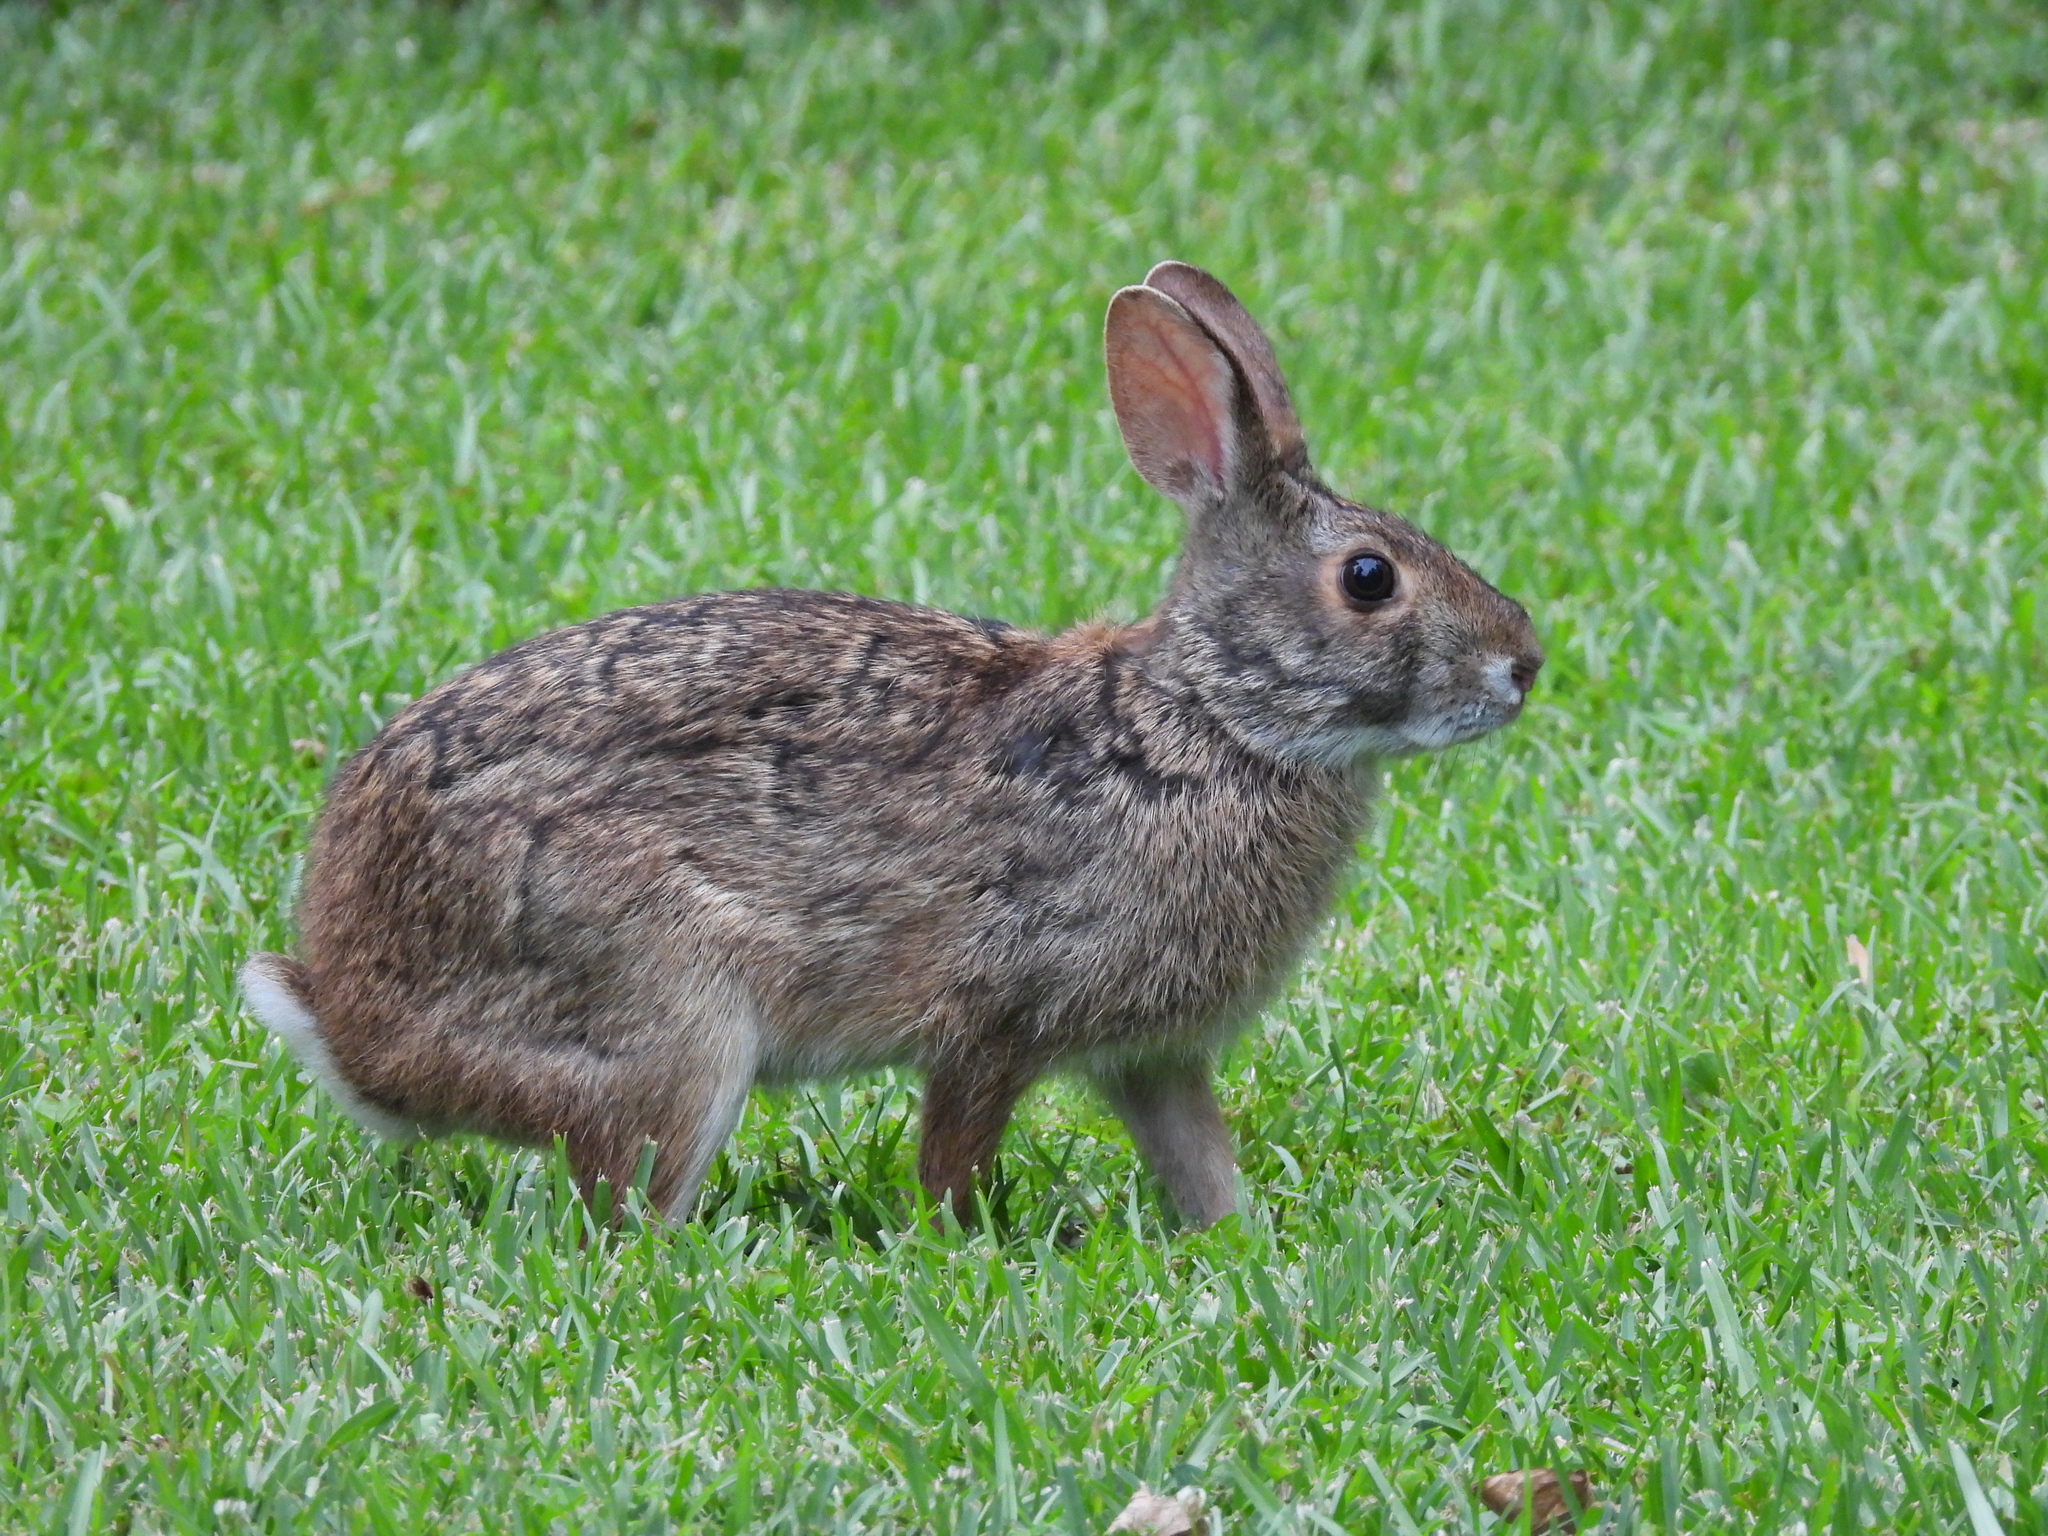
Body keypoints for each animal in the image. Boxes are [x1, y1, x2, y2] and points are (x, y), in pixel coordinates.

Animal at [239, 262, 1540, 1228]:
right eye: (1368, 580)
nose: (1522, 663)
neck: (1212, 721)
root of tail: (358, 1032)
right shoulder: (997, 1015)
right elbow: (953, 1148)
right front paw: (963, 1240)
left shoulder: (1152, 1054)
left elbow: (1194, 1154)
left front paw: (1237, 1240)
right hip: (665, 1006)